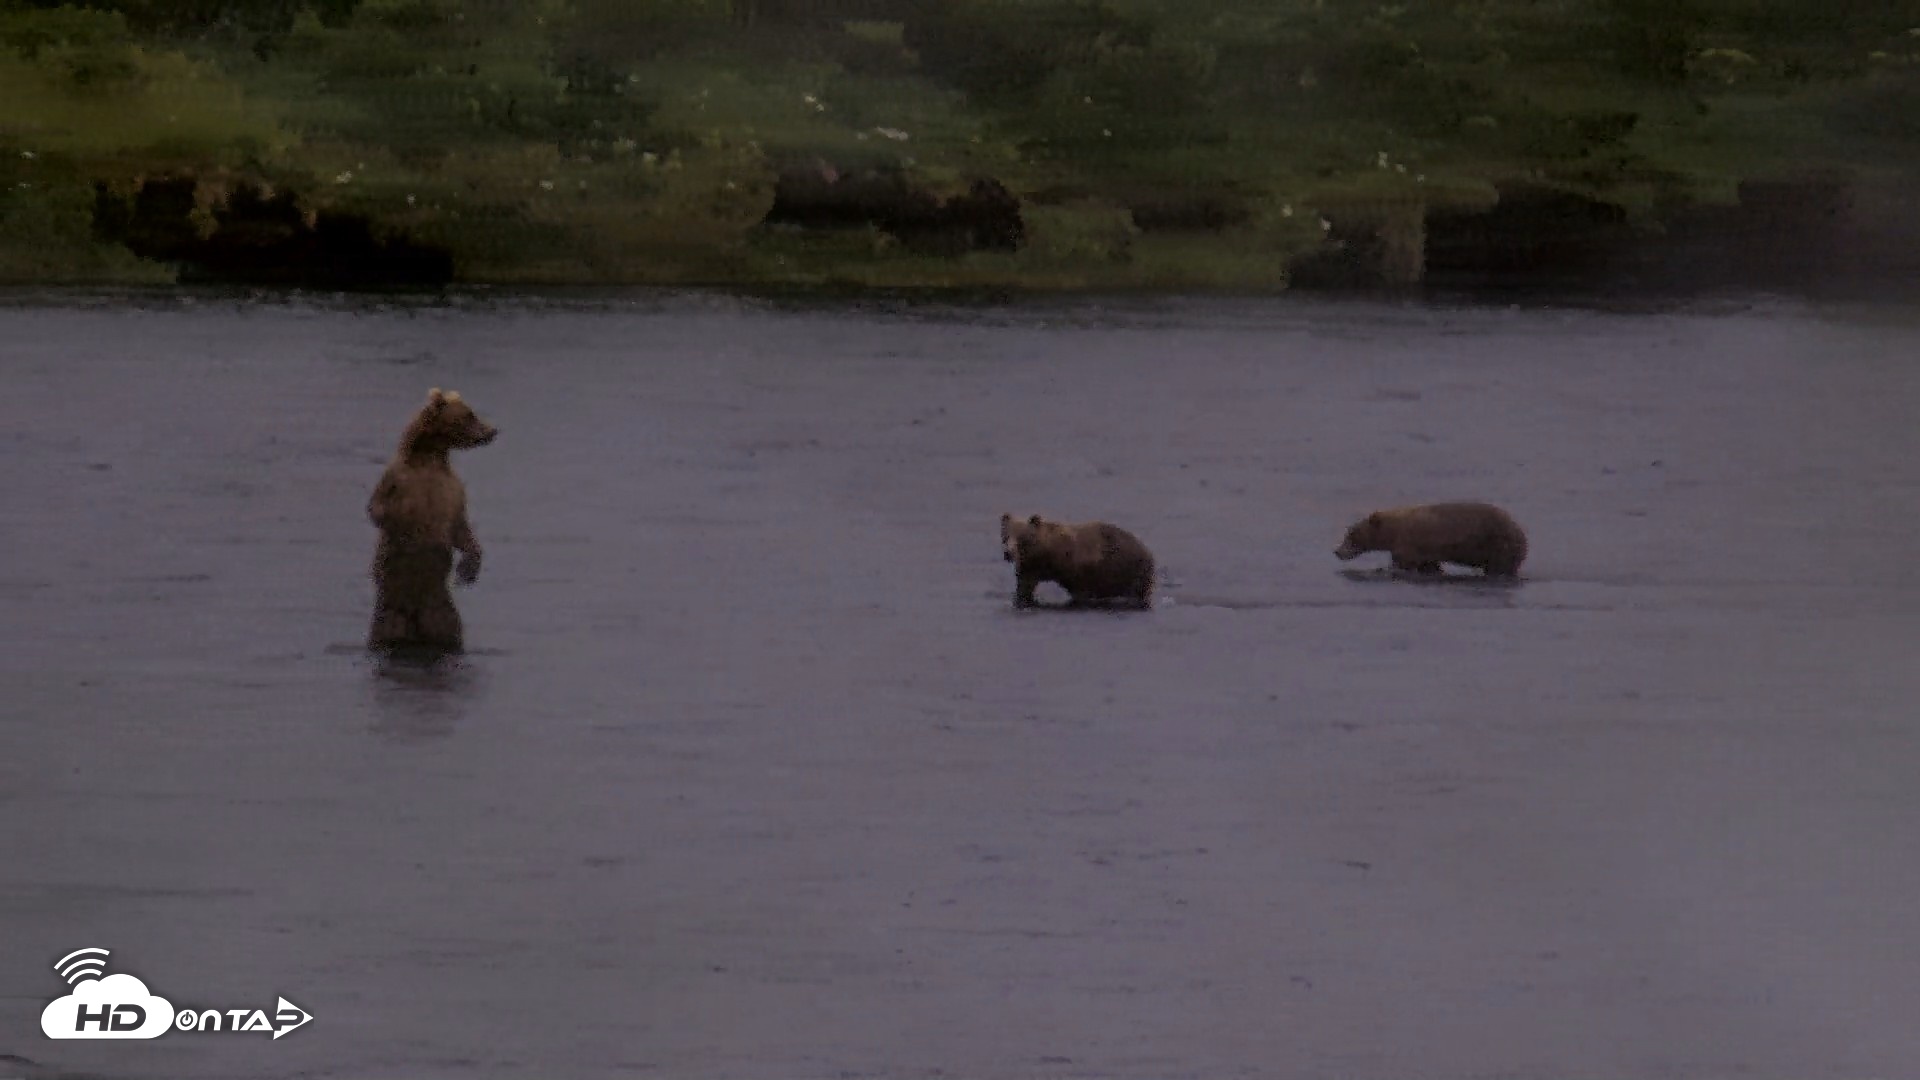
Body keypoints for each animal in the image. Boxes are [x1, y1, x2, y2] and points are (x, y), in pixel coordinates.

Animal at [366, 388, 498, 654]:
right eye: (469, 415)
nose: (492, 431)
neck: (429, 457)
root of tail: (414, 619)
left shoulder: (453, 489)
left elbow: (460, 527)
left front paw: (468, 568)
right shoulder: (396, 480)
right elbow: (378, 510)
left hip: (441, 611)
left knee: (449, 630)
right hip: (390, 607)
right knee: (382, 629)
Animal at [1000, 512, 1155, 609]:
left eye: (1021, 538)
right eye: (1006, 536)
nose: (1008, 553)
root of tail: (1148, 550)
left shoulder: (1081, 570)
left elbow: (1082, 591)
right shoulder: (1030, 567)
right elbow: (1024, 586)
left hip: (1132, 572)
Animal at [1334, 501, 1527, 578]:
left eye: (1351, 534)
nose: (1337, 551)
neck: (1392, 532)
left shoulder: (1409, 543)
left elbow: (1403, 563)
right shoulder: (1426, 550)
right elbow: (1429, 565)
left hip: (1499, 545)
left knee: (1499, 566)